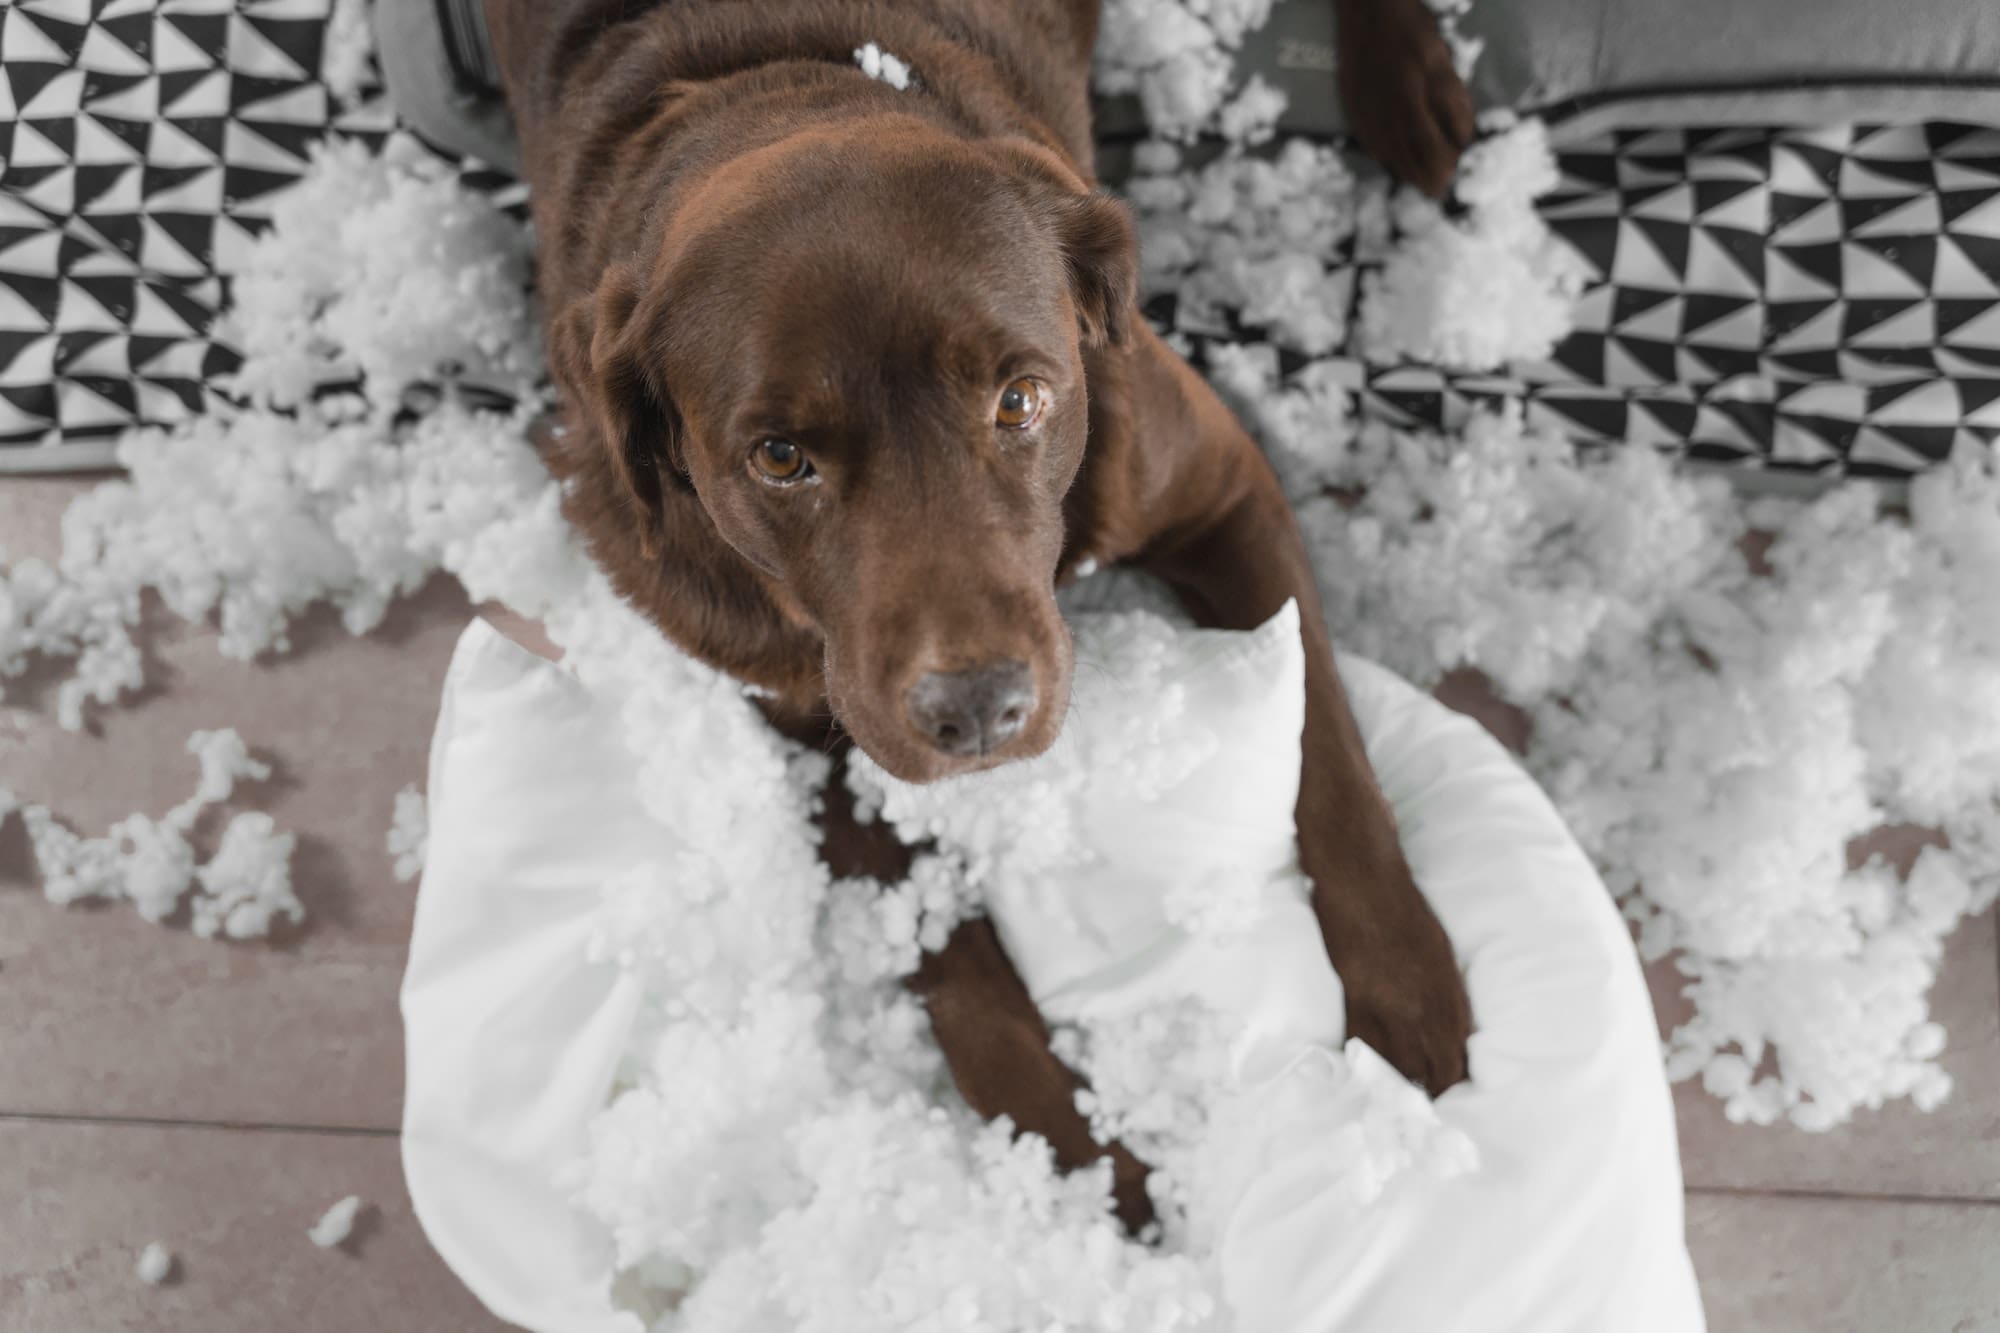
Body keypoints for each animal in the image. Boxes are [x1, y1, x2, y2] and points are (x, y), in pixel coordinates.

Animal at [488, 0, 1472, 1224]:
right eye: (779, 456)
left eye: (1023, 398)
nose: (980, 711)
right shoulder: (806, 714)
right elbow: (951, 963)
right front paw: (1076, 1167)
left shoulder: (1222, 486)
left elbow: (1322, 750)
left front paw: (1405, 981)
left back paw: (1406, 83)